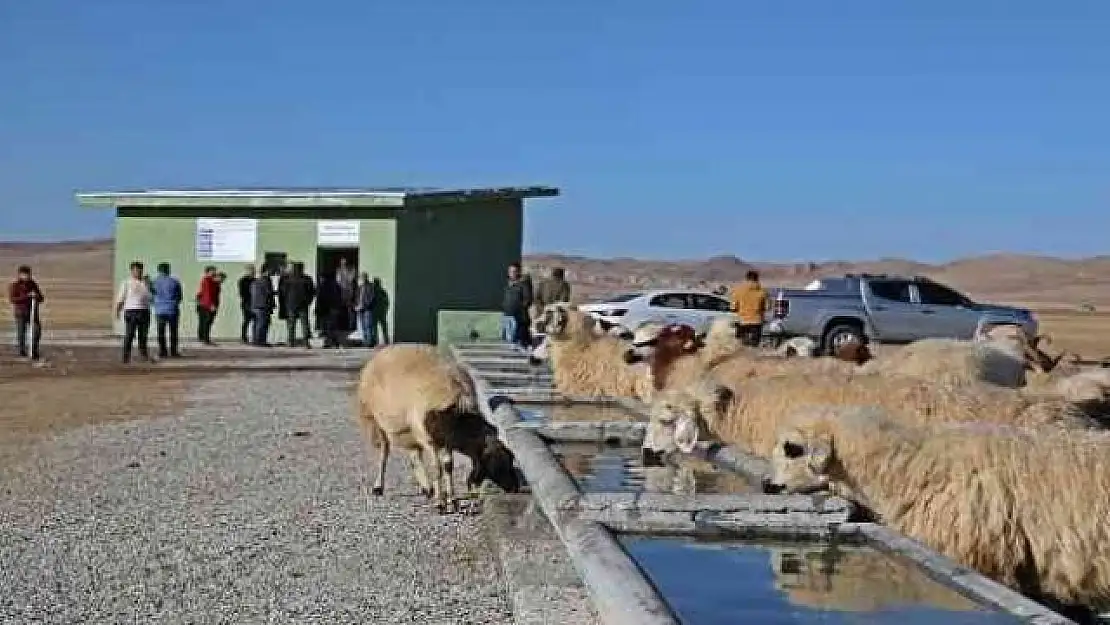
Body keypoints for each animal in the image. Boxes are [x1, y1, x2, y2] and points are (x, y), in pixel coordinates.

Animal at [359, 341, 523, 512]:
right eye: (501, 462)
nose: (515, 488)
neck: (460, 419)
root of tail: (383, 351)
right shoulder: (430, 439)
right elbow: (437, 467)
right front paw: (440, 502)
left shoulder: (446, 440)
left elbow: (448, 466)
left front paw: (452, 500)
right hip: (376, 419)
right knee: (384, 452)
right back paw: (378, 486)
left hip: (409, 428)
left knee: (414, 455)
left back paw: (427, 488)